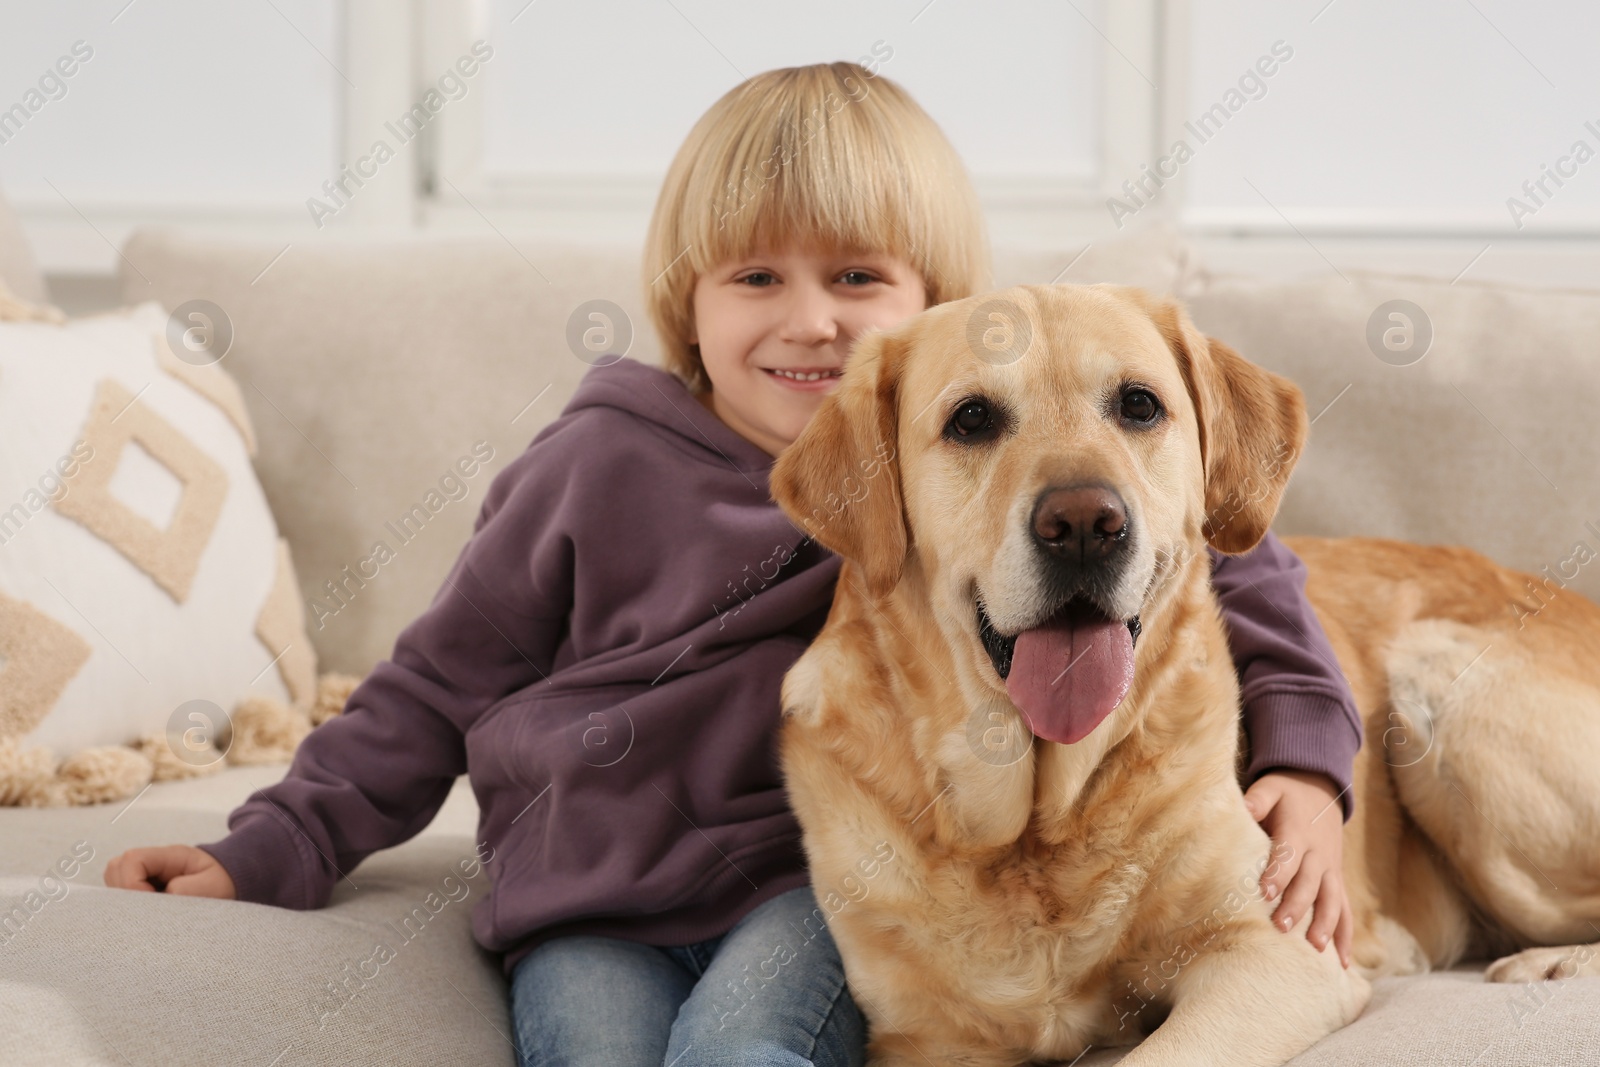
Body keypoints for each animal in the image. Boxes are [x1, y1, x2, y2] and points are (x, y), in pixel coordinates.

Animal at [761, 286, 1600, 1067]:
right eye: (971, 420)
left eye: (1138, 404)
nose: (1084, 524)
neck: (1036, 829)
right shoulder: (926, 1038)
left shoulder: (1274, 950)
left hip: (1439, 684)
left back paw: (1550, 958)